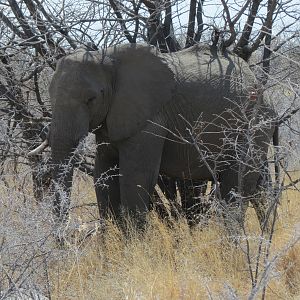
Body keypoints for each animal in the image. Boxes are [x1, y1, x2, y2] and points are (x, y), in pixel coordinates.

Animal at [37, 42, 276, 230]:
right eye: (50, 95)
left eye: (91, 99)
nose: (64, 241)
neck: (105, 57)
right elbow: (103, 176)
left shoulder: (150, 119)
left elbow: (136, 177)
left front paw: (133, 250)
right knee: (258, 188)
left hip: (252, 126)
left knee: (235, 188)